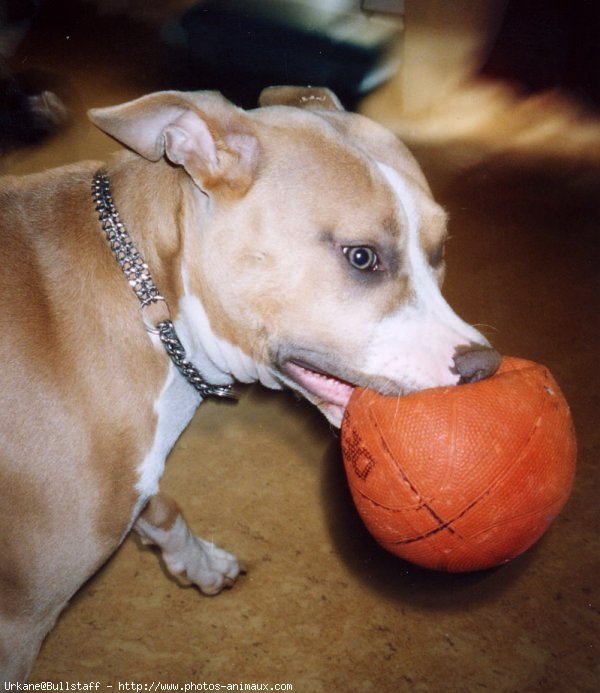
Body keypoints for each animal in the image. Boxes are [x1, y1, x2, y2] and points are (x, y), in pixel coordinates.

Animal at [0, 84, 500, 680]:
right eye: (362, 256)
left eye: (440, 249)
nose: (484, 366)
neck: (148, 298)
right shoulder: (18, 619)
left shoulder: (134, 479)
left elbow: (162, 506)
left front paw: (198, 562)